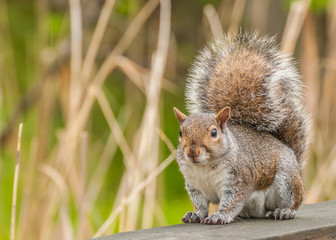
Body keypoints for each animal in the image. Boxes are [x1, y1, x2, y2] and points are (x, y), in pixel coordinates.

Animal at [175, 31, 312, 225]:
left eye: (214, 132)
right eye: (181, 133)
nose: (192, 151)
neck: (204, 167)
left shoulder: (240, 179)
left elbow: (232, 201)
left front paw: (220, 215)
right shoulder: (194, 186)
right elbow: (200, 205)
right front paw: (195, 215)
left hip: (287, 180)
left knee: (295, 200)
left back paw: (285, 211)